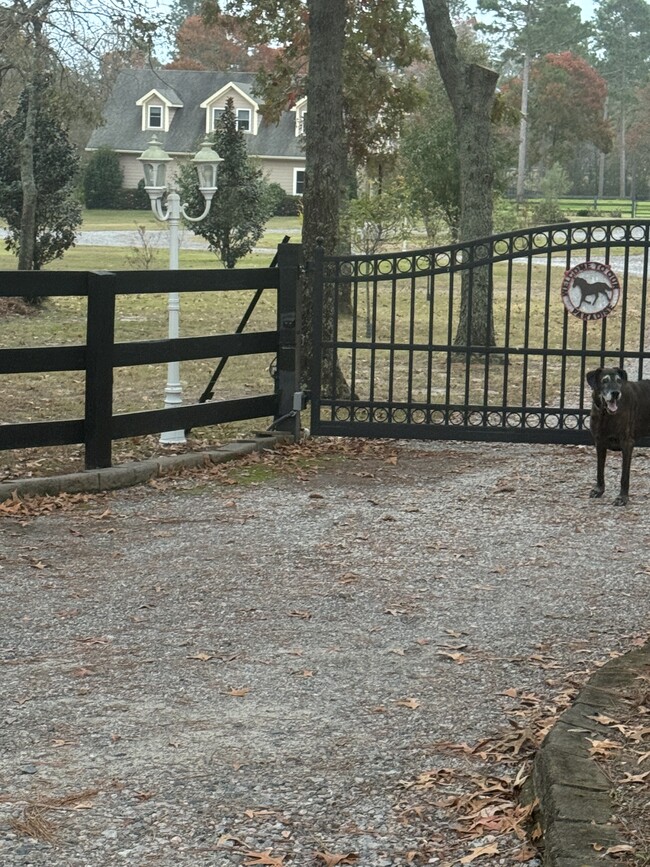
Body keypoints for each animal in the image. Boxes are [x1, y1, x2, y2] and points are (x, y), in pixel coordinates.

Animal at [584, 368, 648, 506]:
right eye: (604, 380)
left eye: (619, 381)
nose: (615, 393)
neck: (605, 414)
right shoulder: (599, 443)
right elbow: (600, 470)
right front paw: (599, 490)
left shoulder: (627, 444)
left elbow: (624, 476)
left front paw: (622, 498)